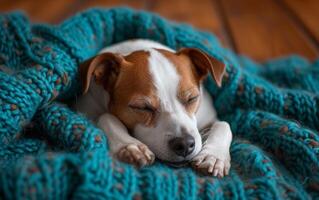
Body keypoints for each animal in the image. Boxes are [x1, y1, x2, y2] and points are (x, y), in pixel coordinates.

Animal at [76, 39, 234, 177]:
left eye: (192, 98)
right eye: (143, 107)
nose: (184, 144)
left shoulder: (208, 117)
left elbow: (224, 125)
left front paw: (213, 155)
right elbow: (106, 117)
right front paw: (128, 145)